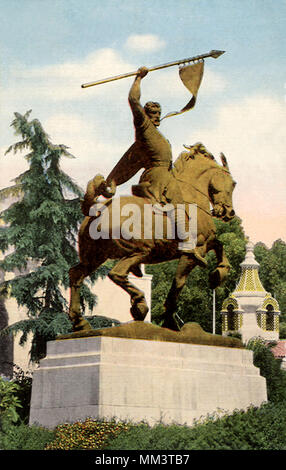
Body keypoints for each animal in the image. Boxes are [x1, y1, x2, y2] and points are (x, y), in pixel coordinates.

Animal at [68, 145, 236, 332]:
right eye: (233, 183)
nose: (229, 212)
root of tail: (97, 211)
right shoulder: (194, 251)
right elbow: (178, 283)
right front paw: (170, 320)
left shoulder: (206, 242)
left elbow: (220, 246)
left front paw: (218, 274)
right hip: (140, 250)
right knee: (116, 273)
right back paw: (140, 305)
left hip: (95, 258)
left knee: (76, 275)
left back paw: (80, 322)